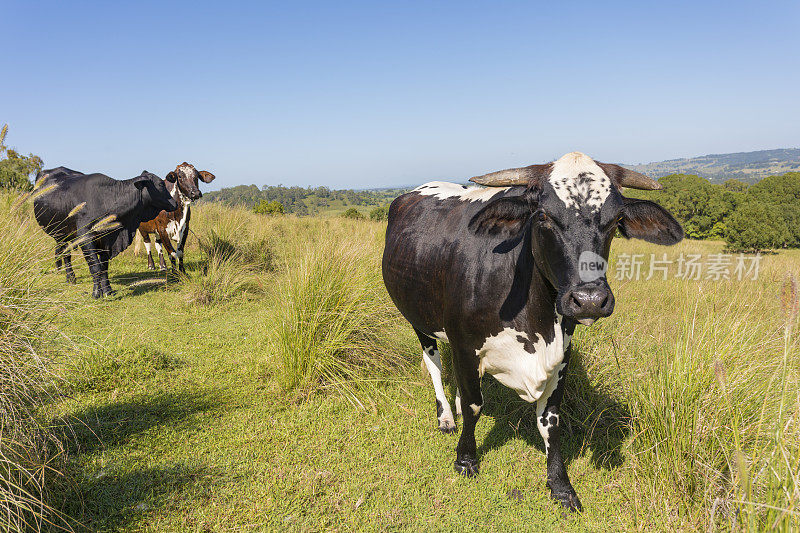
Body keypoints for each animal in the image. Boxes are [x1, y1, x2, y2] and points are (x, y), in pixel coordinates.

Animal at [34, 166, 177, 298]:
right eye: (161, 184)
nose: (175, 203)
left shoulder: (107, 239)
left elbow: (104, 266)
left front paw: (108, 290)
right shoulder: (86, 238)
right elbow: (95, 266)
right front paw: (96, 293)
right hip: (61, 234)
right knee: (66, 254)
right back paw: (70, 277)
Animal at [382, 152, 680, 510]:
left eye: (615, 220)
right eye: (543, 216)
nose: (590, 300)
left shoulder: (562, 354)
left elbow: (550, 420)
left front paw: (561, 485)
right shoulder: (465, 344)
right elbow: (474, 405)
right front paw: (466, 459)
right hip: (420, 321)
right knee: (436, 366)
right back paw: (446, 417)